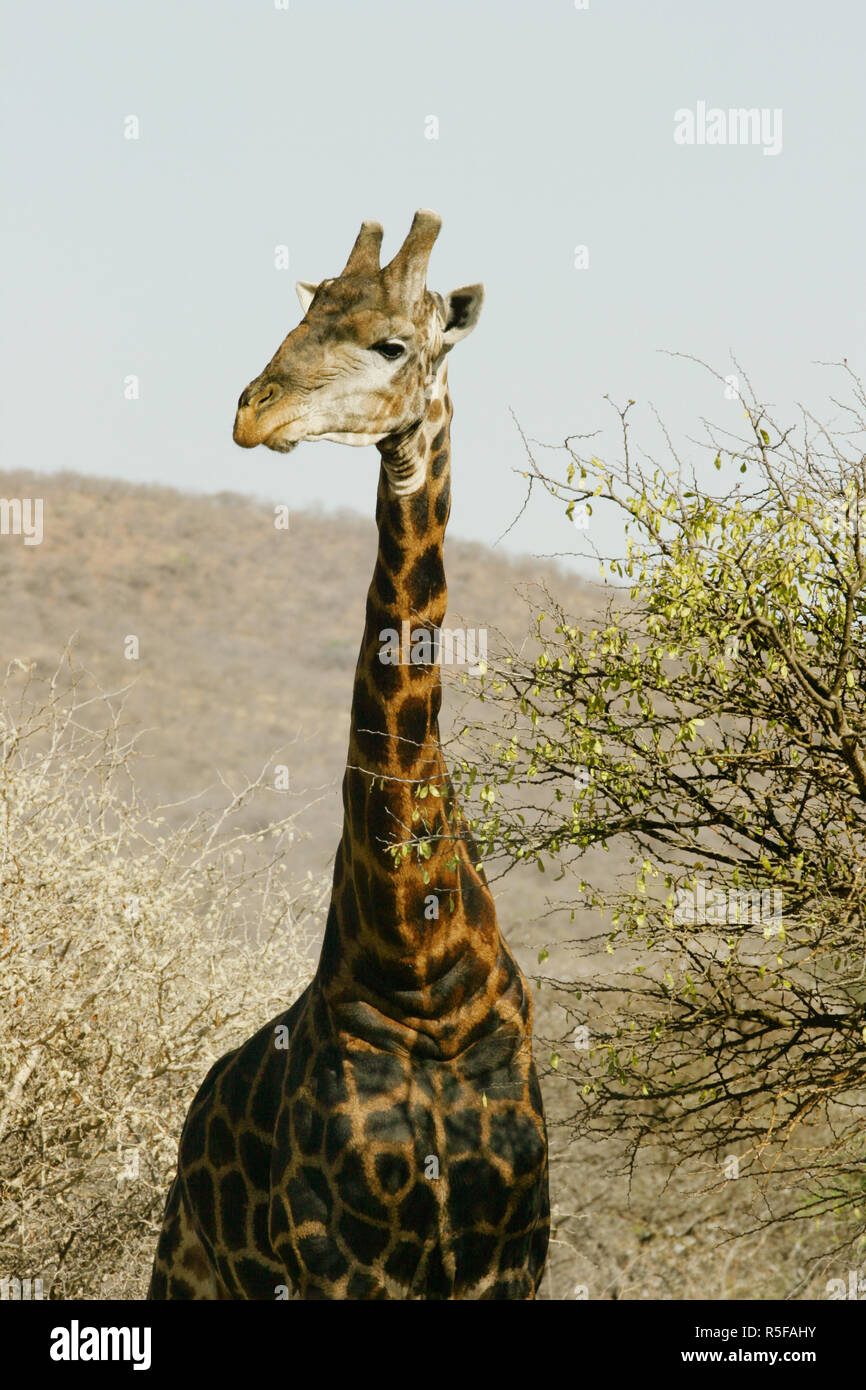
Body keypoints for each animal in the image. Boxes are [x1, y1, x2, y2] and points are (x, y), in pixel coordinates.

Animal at [148, 211, 547, 1295]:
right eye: (300, 320)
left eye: (392, 344)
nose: (253, 411)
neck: (418, 971)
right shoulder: (336, 1251)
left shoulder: (513, 1246)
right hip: (190, 1267)